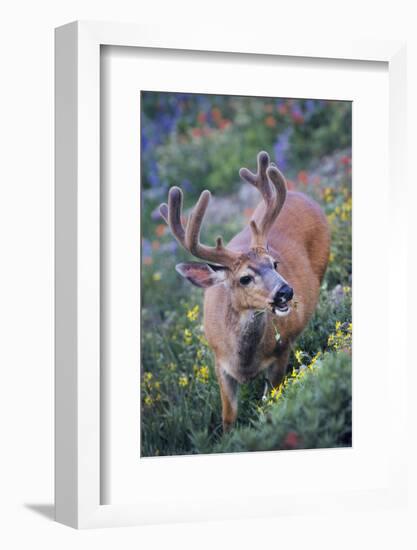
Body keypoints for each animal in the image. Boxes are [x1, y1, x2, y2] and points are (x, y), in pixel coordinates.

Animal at [158, 153, 328, 434]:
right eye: (245, 278)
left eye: (275, 264)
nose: (286, 291)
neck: (245, 362)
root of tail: (300, 195)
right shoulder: (219, 361)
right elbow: (228, 416)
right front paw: (229, 438)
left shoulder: (282, 350)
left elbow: (271, 399)